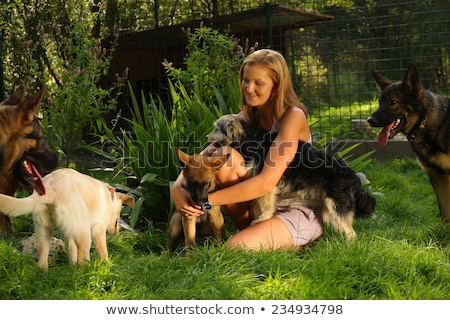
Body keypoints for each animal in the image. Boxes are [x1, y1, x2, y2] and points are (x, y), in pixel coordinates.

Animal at [0, 169, 134, 268]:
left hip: (44, 232)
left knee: (41, 262)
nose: (116, 232)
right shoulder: (98, 231)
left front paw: (72, 267)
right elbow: (103, 253)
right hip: (85, 234)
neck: (108, 195)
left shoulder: (70, 235)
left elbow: (72, 252)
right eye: (120, 212)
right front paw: (107, 266)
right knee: (83, 259)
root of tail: (51, 188)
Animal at [206, 114, 374, 241]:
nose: (207, 136)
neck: (250, 138)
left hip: (335, 203)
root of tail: (353, 177)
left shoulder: (267, 182)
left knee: (351, 232)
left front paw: (263, 218)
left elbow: (265, 203)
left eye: (216, 128)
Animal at [370, 64, 450, 225]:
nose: (370, 120)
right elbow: (445, 213)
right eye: (380, 102)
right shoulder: (438, 177)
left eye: (392, 102)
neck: (425, 123)